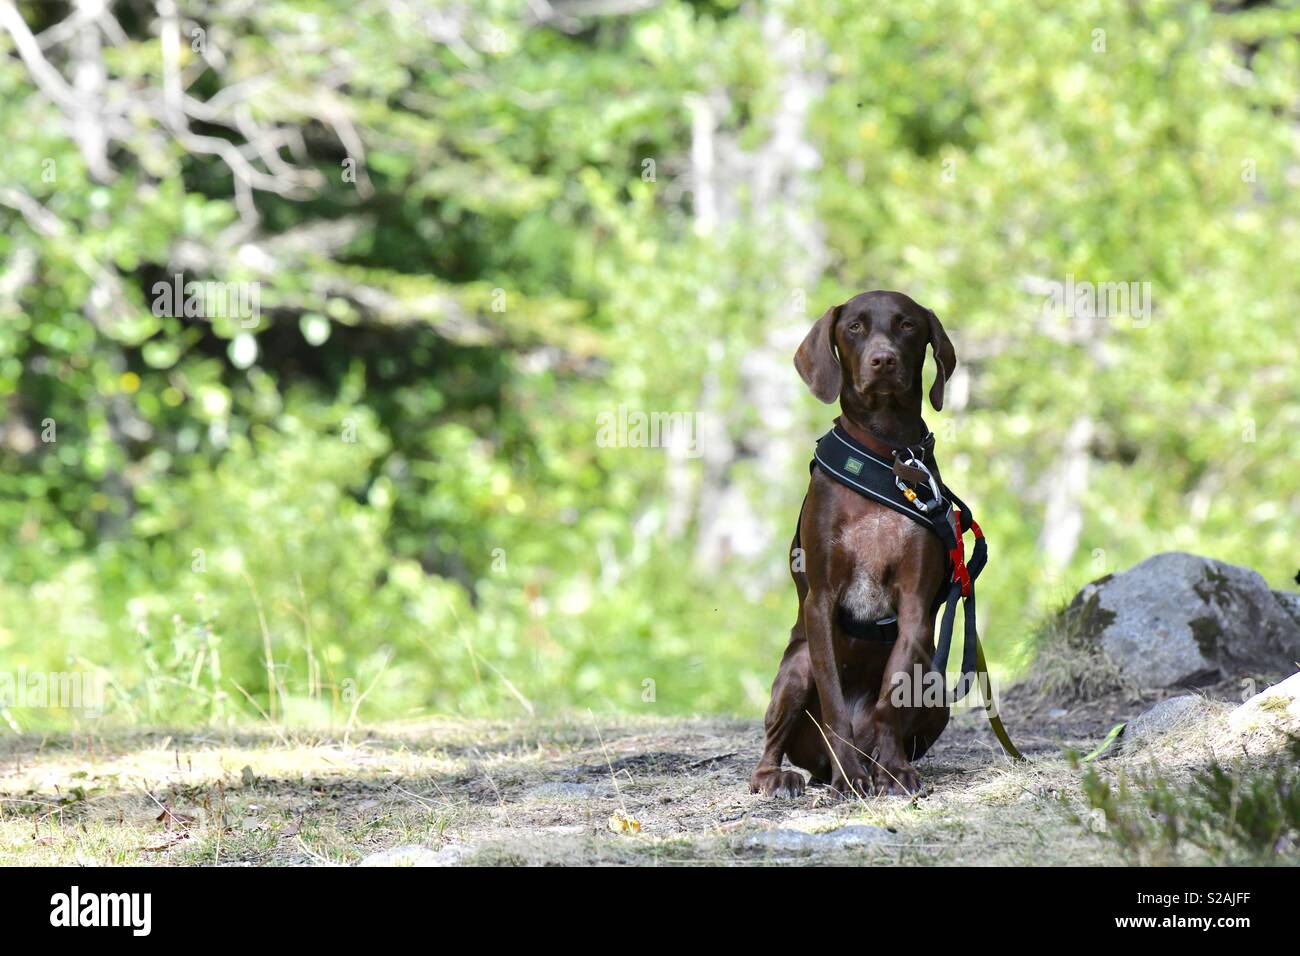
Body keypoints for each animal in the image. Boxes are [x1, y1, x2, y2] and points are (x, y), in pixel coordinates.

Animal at [754, 291, 956, 801]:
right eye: (855, 328)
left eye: (907, 325)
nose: (883, 361)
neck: (885, 456)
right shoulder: (821, 601)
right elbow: (833, 704)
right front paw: (852, 777)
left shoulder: (915, 609)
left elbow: (889, 699)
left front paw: (895, 772)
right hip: (796, 667)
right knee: (777, 742)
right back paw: (784, 776)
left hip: (936, 688)